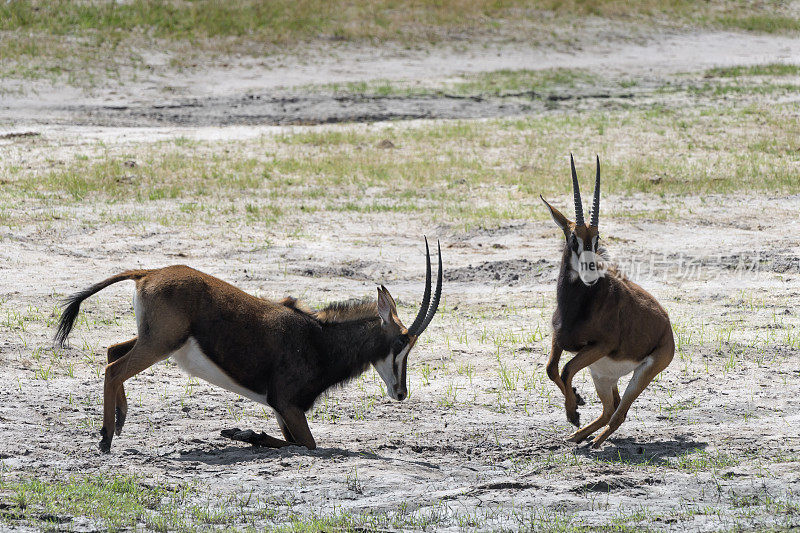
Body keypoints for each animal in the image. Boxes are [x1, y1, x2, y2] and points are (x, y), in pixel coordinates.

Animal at [56, 239, 444, 450]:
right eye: (402, 342)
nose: (401, 393)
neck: (319, 338)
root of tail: (147, 274)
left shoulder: (281, 410)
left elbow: (295, 442)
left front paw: (240, 432)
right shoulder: (287, 405)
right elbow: (308, 444)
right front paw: (241, 433)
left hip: (154, 339)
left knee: (112, 352)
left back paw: (120, 422)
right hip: (160, 344)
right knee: (113, 368)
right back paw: (106, 439)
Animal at [536, 156, 676, 446]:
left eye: (597, 238)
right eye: (573, 238)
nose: (590, 273)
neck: (578, 306)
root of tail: (666, 325)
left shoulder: (601, 345)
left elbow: (565, 370)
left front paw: (573, 412)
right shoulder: (560, 338)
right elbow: (552, 369)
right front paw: (577, 403)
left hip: (640, 373)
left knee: (618, 412)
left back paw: (594, 441)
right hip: (601, 374)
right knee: (610, 407)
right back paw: (578, 436)